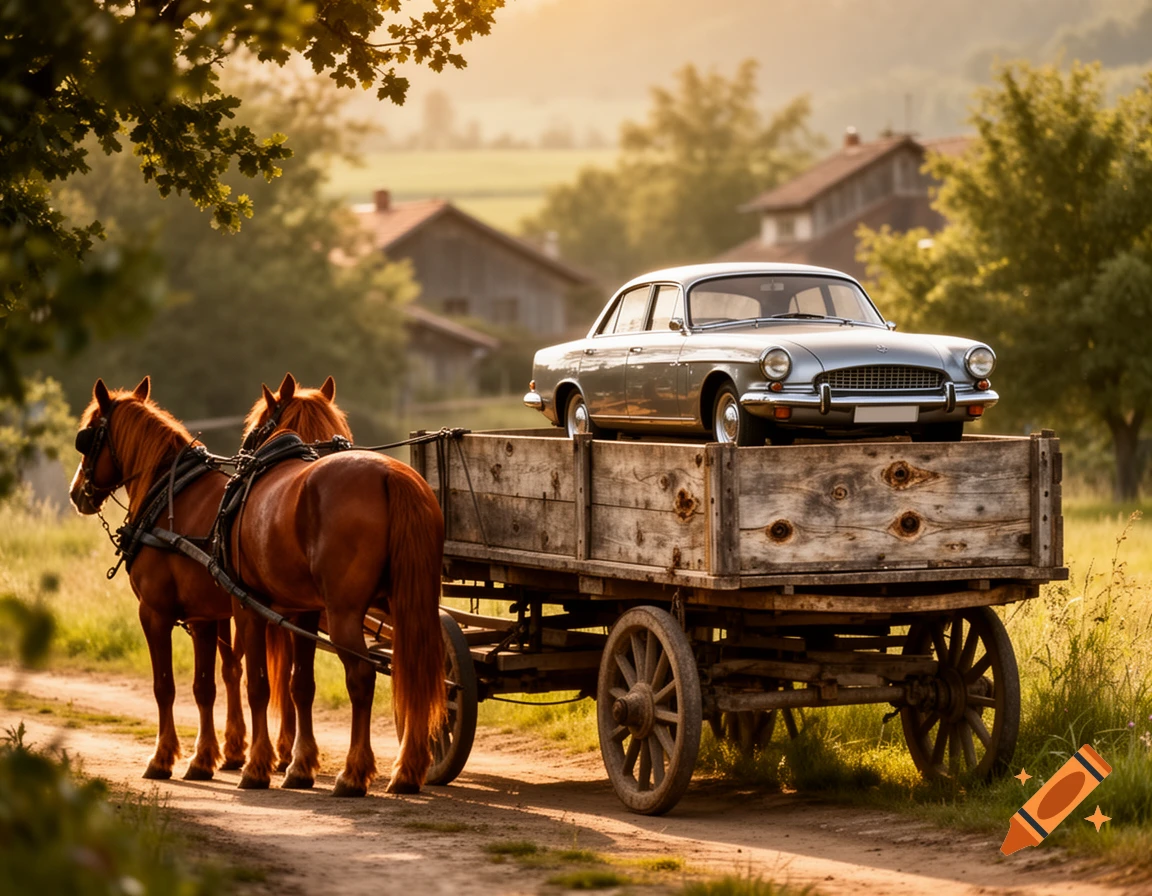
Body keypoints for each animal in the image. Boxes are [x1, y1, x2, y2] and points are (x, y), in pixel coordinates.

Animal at [72, 376, 447, 795]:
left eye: (85, 438)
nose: (76, 492)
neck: (171, 494)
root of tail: (391, 475)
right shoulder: (229, 615)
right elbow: (237, 686)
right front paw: (221, 760)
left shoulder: (167, 612)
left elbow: (196, 685)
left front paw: (183, 759)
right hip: (410, 606)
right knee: (415, 674)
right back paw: (407, 770)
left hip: (344, 615)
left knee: (362, 678)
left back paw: (353, 772)